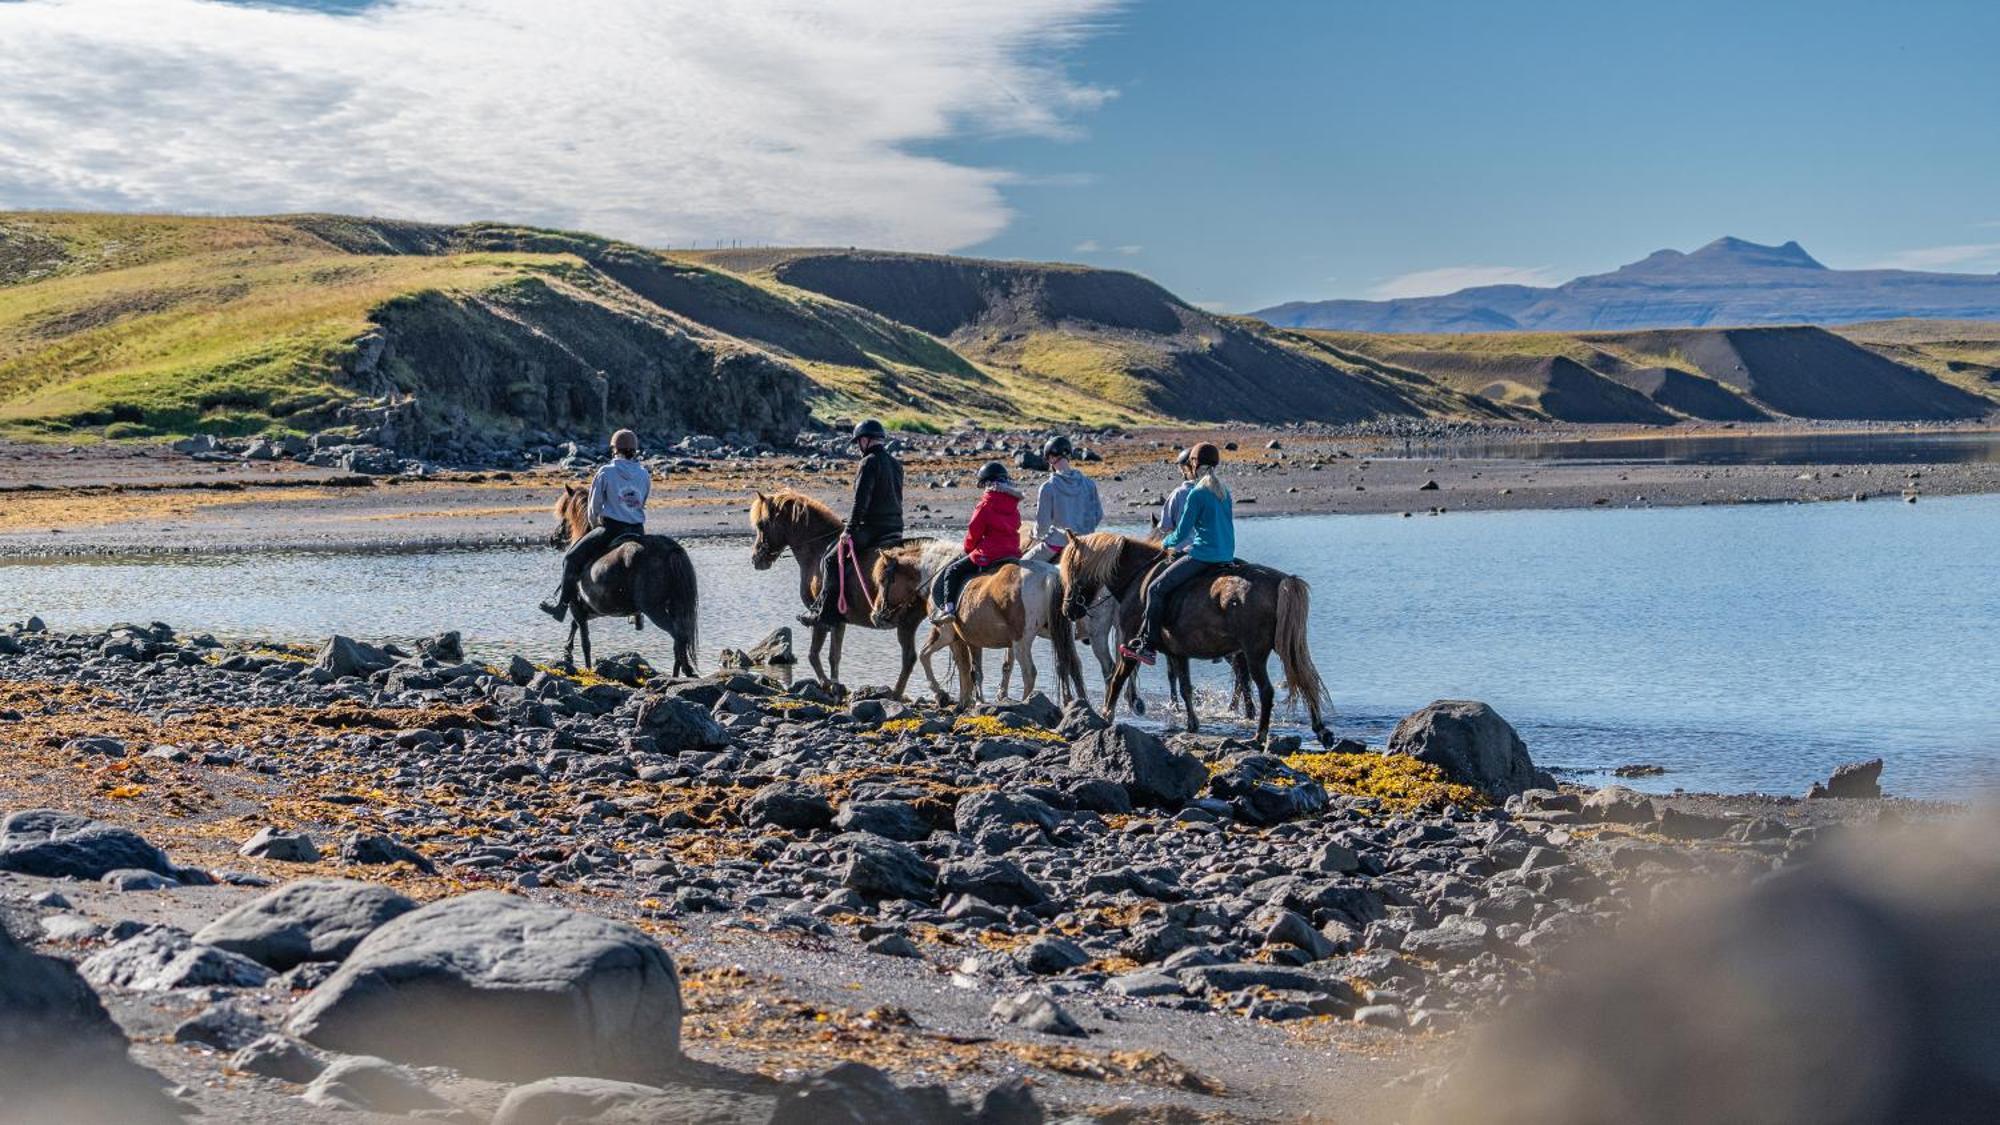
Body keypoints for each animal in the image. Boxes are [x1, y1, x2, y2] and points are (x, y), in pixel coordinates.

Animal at [552, 482, 700, 672]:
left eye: (565, 516)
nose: (553, 538)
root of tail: (670, 549)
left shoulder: (576, 607)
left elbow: (585, 641)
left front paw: (585, 666)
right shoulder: (587, 610)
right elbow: (575, 628)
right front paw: (567, 653)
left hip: (654, 609)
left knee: (678, 636)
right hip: (674, 606)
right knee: (680, 639)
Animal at [752, 488, 936, 692]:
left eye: (761, 524)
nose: (756, 559)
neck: (817, 549)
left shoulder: (821, 619)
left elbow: (814, 654)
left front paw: (827, 683)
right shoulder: (838, 620)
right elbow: (834, 656)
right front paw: (835, 684)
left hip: (907, 622)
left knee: (909, 658)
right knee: (912, 657)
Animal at [872, 544, 1088, 708]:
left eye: (883, 580)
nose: (876, 616)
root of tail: (1050, 575)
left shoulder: (948, 635)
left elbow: (934, 658)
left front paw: (948, 696)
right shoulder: (973, 639)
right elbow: (974, 670)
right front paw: (975, 701)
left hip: (1021, 641)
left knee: (1030, 672)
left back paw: (1028, 704)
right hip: (1060, 634)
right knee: (1072, 664)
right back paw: (1077, 703)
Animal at [1056, 528, 1336, 744]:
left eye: (1073, 569)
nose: (1068, 610)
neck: (1139, 578)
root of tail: (1283, 581)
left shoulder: (1129, 645)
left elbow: (1117, 679)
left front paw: (1106, 715)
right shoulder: (1177, 653)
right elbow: (1185, 688)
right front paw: (1192, 724)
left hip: (1254, 652)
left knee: (1265, 690)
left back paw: (1259, 736)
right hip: (1284, 647)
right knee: (1304, 678)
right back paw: (1321, 731)